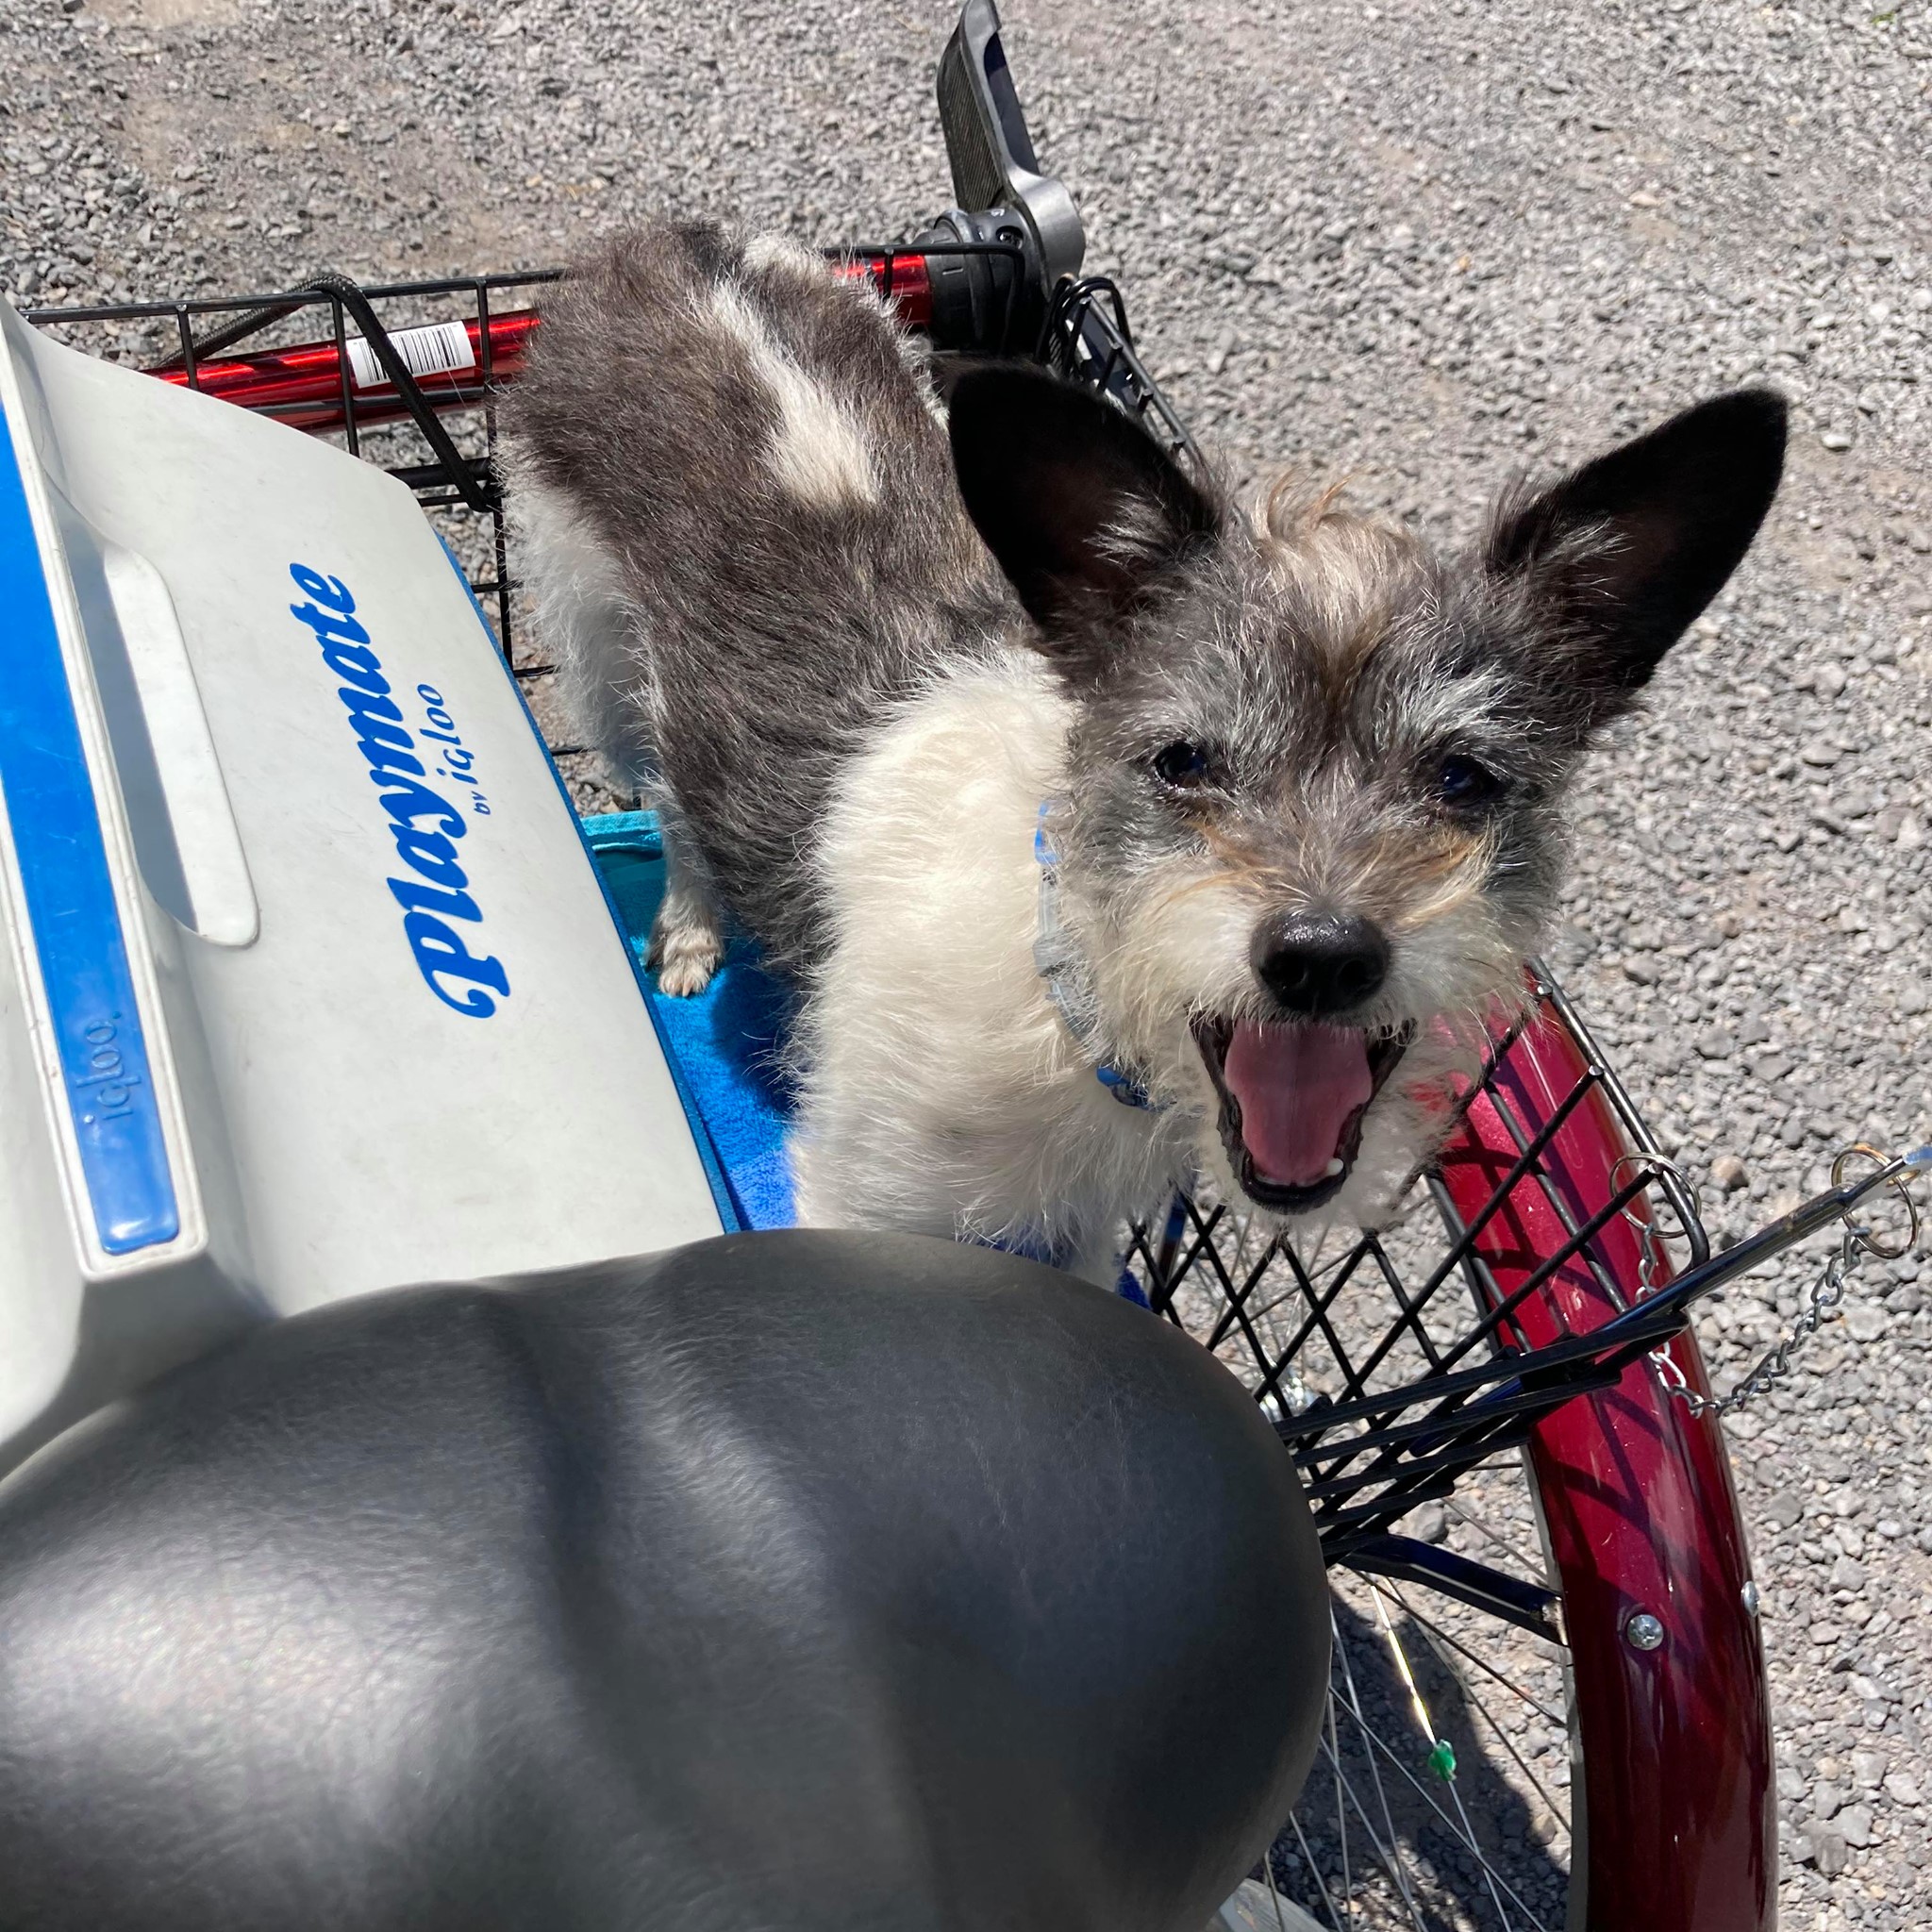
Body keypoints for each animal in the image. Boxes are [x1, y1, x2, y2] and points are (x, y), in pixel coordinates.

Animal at [502, 225, 1777, 1274]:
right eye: (1182, 760)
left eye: (1462, 778)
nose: (1322, 957)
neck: (1076, 1004)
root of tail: (670, 244)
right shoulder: (864, 1201)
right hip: (595, 647)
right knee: (664, 794)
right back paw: (689, 925)